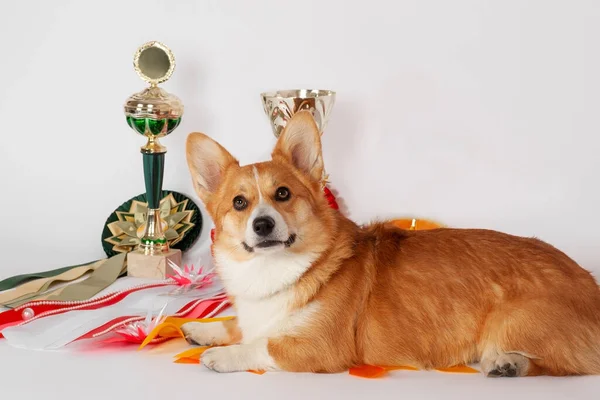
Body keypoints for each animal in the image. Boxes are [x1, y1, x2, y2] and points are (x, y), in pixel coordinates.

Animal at [180, 111, 600, 376]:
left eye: (282, 194)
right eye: (239, 203)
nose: (263, 224)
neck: (273, 271)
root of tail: (589, 282)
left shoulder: (319, 347)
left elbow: (261, 345)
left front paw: (222, 355)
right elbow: (239, 325)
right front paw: (203, 330)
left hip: (511, 323)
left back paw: (510, 363)